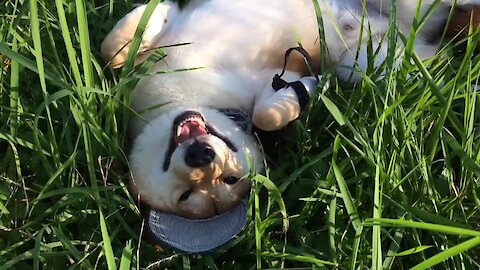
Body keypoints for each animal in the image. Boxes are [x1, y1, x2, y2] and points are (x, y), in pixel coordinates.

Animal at [100, 0, 476, 253]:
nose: (202, 156)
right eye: (187, 195)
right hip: (376, 64)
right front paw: (304, 90)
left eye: (229, 178)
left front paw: (156, 9)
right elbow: (271, 112)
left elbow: (112, 49)